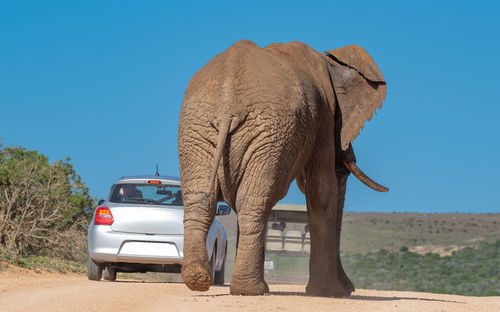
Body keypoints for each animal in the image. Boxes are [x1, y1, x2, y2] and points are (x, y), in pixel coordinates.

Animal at [178, 39, 388, 298]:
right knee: (253, 201)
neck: (330, 61)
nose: (349, 289)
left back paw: (200, 278)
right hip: (265, 132)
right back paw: (251, 290)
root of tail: (227, 101)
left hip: (202, 129)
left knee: (204, 199)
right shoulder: (324, 116)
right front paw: (329, 293)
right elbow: (322, 192)